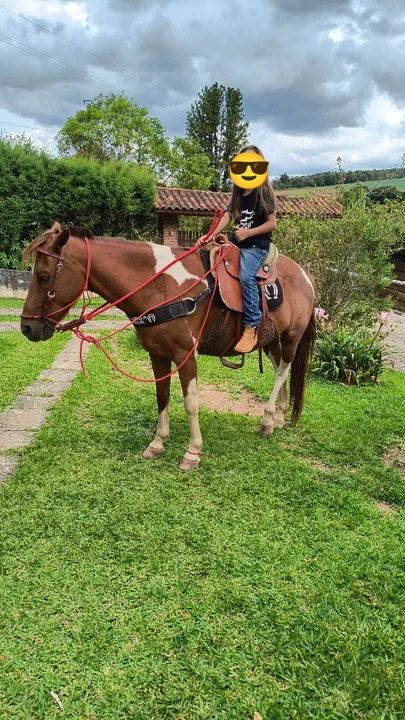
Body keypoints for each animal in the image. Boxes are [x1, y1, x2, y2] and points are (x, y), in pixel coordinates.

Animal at [20, 222, 315, 470]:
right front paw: (157, 443)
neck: (160, 287)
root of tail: (304, 275)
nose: (26, 327)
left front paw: (192, 452)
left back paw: (267, 420)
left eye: (44, 276)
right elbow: (161, 396)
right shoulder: (157, 355)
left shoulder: (186, 355)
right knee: (279, 369)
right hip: (271, 339)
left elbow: (191, 402)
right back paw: (279, 417)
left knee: (282, 371)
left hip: (291, 337)